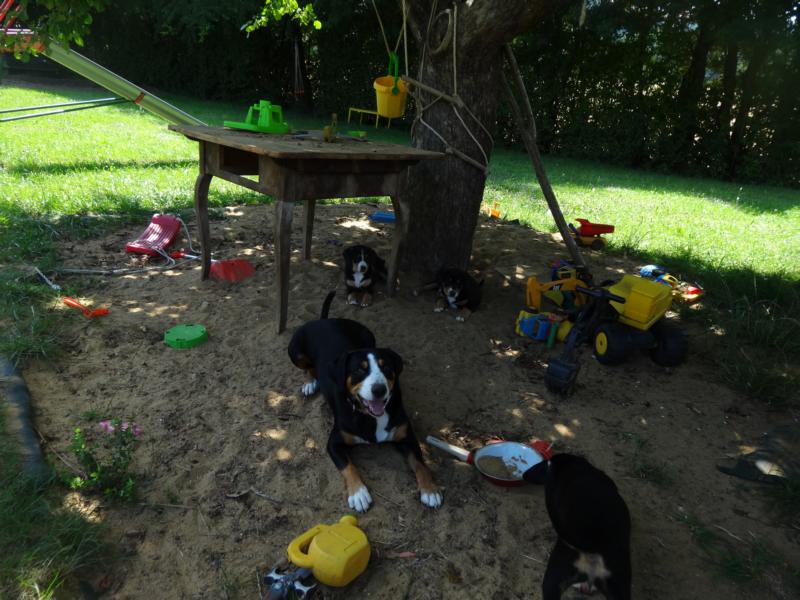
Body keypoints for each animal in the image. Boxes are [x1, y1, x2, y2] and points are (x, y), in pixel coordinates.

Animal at [287, 291, 442, 513]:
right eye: (360, 370)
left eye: (386, 368)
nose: (379, 389)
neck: (370, 417)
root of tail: (324, 320)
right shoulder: (334, 442)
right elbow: (348, 466)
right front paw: (358, 494)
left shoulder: (407, 436)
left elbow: (420, 463)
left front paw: (429, 490)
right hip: (295, 351)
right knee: (309, 368)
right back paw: (310, 383)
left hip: (369, 334)